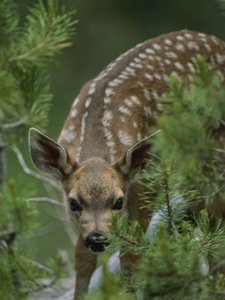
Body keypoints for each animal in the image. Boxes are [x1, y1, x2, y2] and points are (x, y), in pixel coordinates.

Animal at [28, 31, 225, 300]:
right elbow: (82, 260)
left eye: (118, 202)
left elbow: (131, 259)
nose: (98, 239)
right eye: (73, 202)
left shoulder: (145, 182)